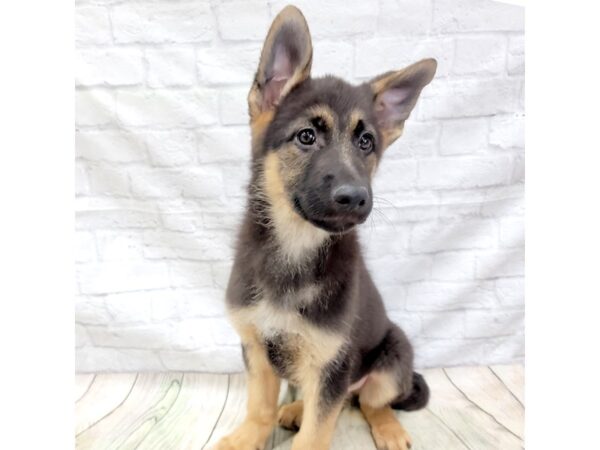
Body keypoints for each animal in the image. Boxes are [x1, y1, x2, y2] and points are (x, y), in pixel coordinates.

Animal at [214, 4, 436, 450]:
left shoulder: (332, 362)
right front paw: (247, 437)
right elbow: (259, 408)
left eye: (366, 142)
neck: (295, 246)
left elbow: (317, 432)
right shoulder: (256, 346)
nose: (356, 197)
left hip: (392, 357)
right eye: (306, 136)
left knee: (369, 402)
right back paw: (296, 409)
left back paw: (389, 429)